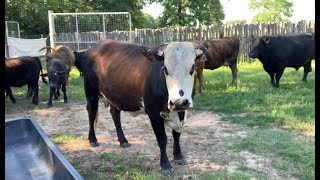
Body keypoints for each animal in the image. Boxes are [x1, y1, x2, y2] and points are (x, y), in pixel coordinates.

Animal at [77, 39, 208, 176]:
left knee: (115, 113)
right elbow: (162, 138)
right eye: (165, 69)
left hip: (115, 94)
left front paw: (178, 156)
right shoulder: (153, 112)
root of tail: (94, 47)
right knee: (92, 111)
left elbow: (176, 134)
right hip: (91, 90)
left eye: (192, 67)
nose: (178, 102)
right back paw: (92, 139)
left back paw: (123, 140)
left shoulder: (182, 111)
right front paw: (165, 165)